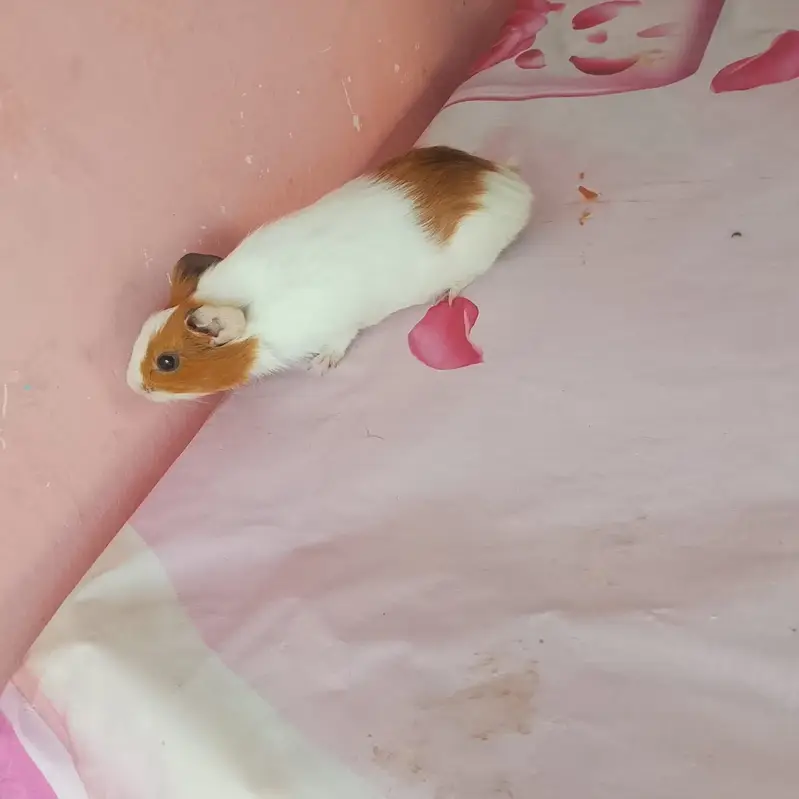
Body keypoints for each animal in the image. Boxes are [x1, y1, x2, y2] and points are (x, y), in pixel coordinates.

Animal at [127, 145, 534, 401]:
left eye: (167, 362)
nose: (131, 384)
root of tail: (512, 186)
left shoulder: (339, 326)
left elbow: (337, 343)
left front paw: (318, 367)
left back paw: (446, 297)